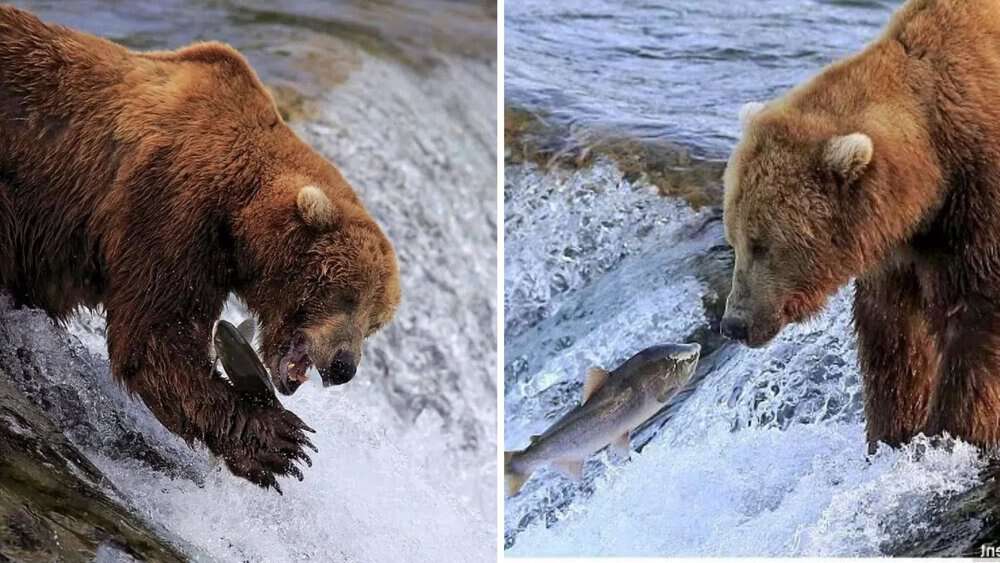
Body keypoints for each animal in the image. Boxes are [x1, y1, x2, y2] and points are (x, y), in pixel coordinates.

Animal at [0, 5, 400, 489]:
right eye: (347, 296)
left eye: (375, 322)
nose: (344, 367)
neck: (241, 212)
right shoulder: (172, 206)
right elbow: (156, 333)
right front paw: (279, 441)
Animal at [720, 0, 1000, 452]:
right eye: (734, 239)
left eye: (763, 244)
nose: (734, 324)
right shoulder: (898, 246)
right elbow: (892, 334)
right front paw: (894, 431)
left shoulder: (977, 209)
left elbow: (975, 326)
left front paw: (951, 434)